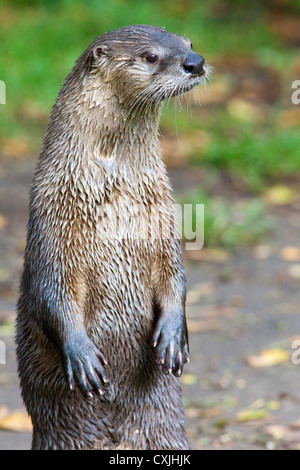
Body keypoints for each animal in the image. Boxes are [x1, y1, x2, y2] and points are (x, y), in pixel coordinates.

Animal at [15, 23, 209, 450]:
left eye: (188, 42)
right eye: (151, 56)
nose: (196, 62)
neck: (114, 195)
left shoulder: (163, 221)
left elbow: (175, 275)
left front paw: (173, 336)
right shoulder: (52, 228)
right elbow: (52, 291)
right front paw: (82, 355)